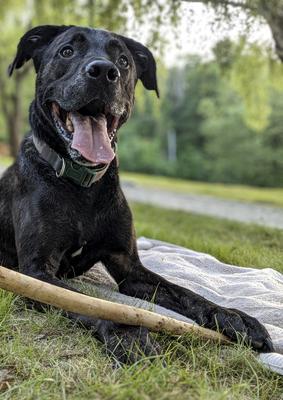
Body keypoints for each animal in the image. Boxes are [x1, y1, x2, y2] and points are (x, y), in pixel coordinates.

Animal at [0, 25, 276, 362]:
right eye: (66, 51)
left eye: (123, 60)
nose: (104, 71)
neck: (82, 187)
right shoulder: (37, 272)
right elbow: (90, 303)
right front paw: (129, 333)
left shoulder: (130, 268)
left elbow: (185, 292)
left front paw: (233, 316)